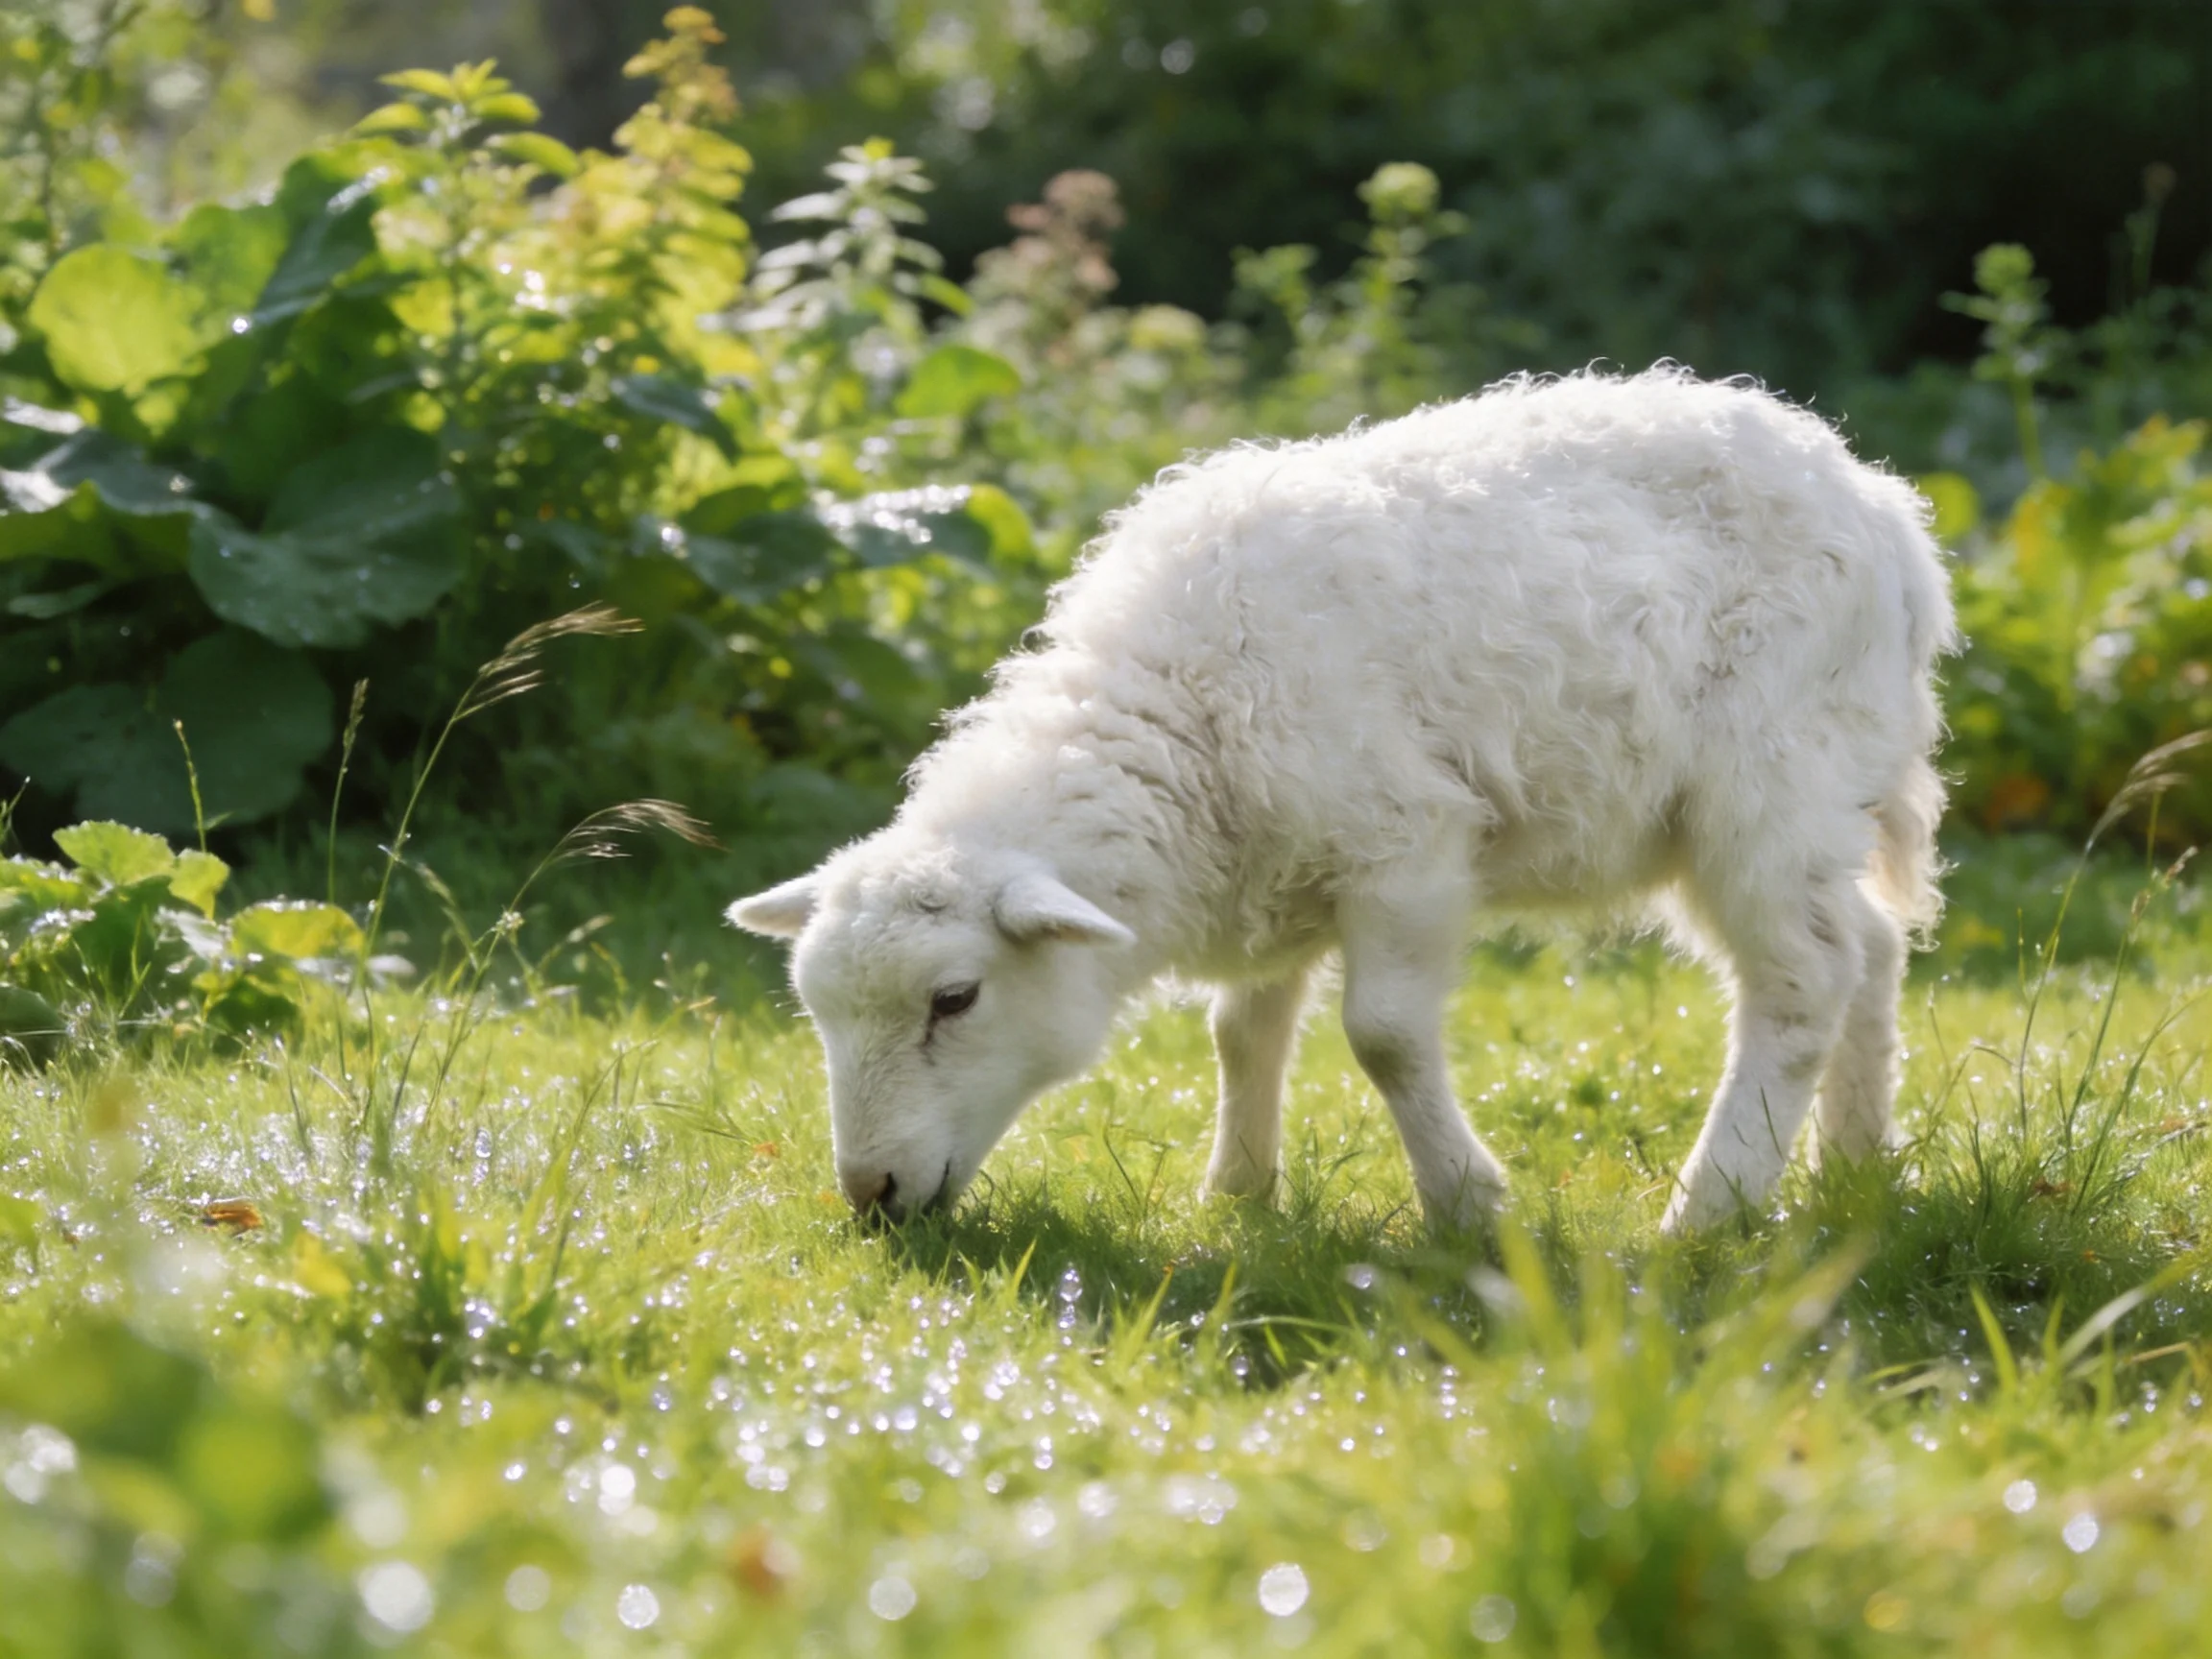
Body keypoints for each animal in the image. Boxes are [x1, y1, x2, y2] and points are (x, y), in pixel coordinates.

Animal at [730, 368, 1955, 1234]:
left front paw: (1465, 1204)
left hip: (1770, 776)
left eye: (956, 1000)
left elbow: (1386, 1040)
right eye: (818, 1012)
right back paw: (1853, 1167)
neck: (1182, 714)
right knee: (1872, 949)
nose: (871, 1196)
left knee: (1803, 980)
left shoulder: (1404, 849)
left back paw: (1712, 1209)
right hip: (1813, 797)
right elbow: (1242, 1031)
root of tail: (1885, 506)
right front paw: (1238, 1193)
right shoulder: (1269, 865)